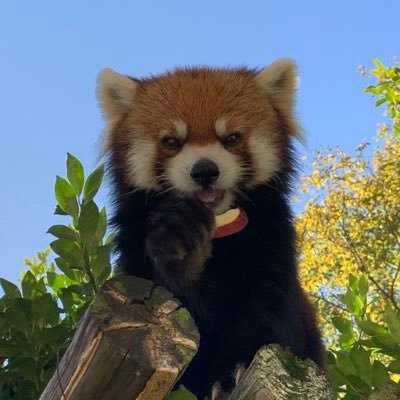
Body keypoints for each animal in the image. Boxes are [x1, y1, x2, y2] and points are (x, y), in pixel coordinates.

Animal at [97, 60, 324, 400]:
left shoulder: (271, 245)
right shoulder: (134, 244)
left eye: (231, 138)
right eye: (171, 141)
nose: (204, 171)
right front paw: (184, 252)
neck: (220, 231)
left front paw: (230, 377)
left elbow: (267, 320)